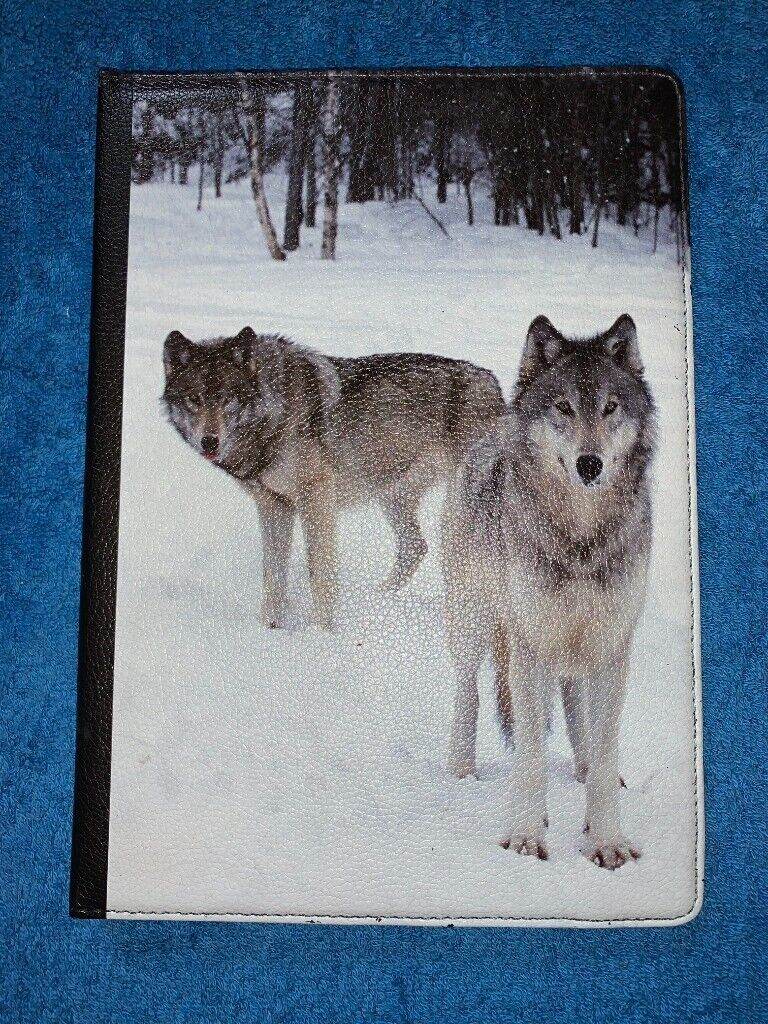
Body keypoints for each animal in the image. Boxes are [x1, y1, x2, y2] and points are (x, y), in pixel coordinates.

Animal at [163, 327, 505, 630]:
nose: (209, 442)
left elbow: (320, 574)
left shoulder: (316, 500)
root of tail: (494, 385)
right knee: (415, 547)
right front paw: (270, 629)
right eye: (194, 399)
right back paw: (379, 600)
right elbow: (273, 577)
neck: (274, 412)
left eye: (227, 399)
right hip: (392, 497)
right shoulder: (273, 505)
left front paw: (323, 635)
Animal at [441, 314, 656, 870]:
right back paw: (461, 772)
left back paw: (580, 769)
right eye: (564, 408)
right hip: (475, 625)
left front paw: (605, 840)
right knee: (470, 697)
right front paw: (525, 835)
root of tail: (494, 425)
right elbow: (531, 754)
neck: (580, 538)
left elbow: (604, 749)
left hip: (575, 648)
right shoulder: (529, 644)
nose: (589, 464)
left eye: (610, 408)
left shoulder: (612, 645)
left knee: (575, 708)